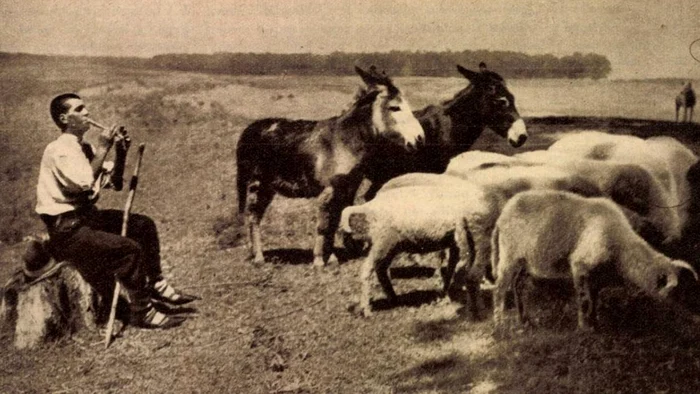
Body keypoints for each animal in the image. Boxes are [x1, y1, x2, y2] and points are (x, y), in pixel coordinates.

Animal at [490, 189, 696, 330]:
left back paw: (524, 320)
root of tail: (502, 216)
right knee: (500, 289)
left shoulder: (596, 273)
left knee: (518, 286)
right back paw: (500, 324)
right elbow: (584, 300)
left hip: (526, 261)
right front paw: (584, 327)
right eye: (679, 292)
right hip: (509, 255)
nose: (695, 319)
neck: (620, 246)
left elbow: (594, 298)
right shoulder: (580, 265)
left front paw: (595, 323)